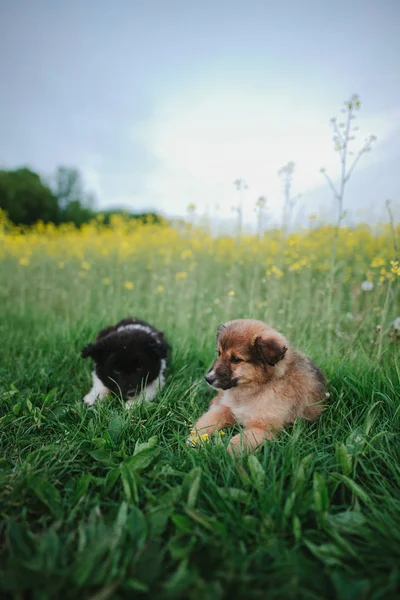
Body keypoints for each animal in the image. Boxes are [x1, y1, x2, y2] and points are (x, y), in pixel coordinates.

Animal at [191, 318, 328, 454]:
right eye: (219, 353)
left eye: (235, 359)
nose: (208, 378)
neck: (255, 388)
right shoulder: (228, 408)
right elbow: (208, 420)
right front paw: (194, 439)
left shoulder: (264, 428)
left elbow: (235, 443)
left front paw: (221, 455)